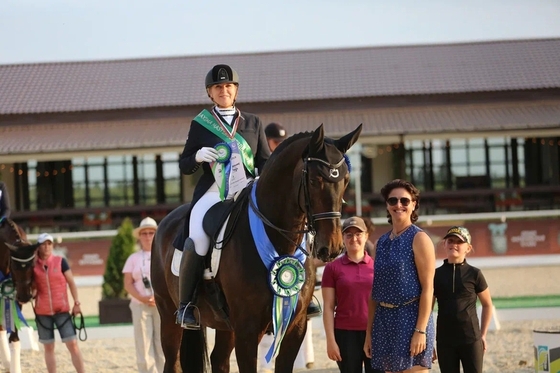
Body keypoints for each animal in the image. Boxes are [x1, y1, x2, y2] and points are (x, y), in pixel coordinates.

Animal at [151, 123, 360, 370]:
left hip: (224, 325)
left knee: (219, 360)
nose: (332, 247)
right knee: (172, 361)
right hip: (168, 314)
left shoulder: (295, 329)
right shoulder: (247, 331)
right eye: (314, 181)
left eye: (346, 180)